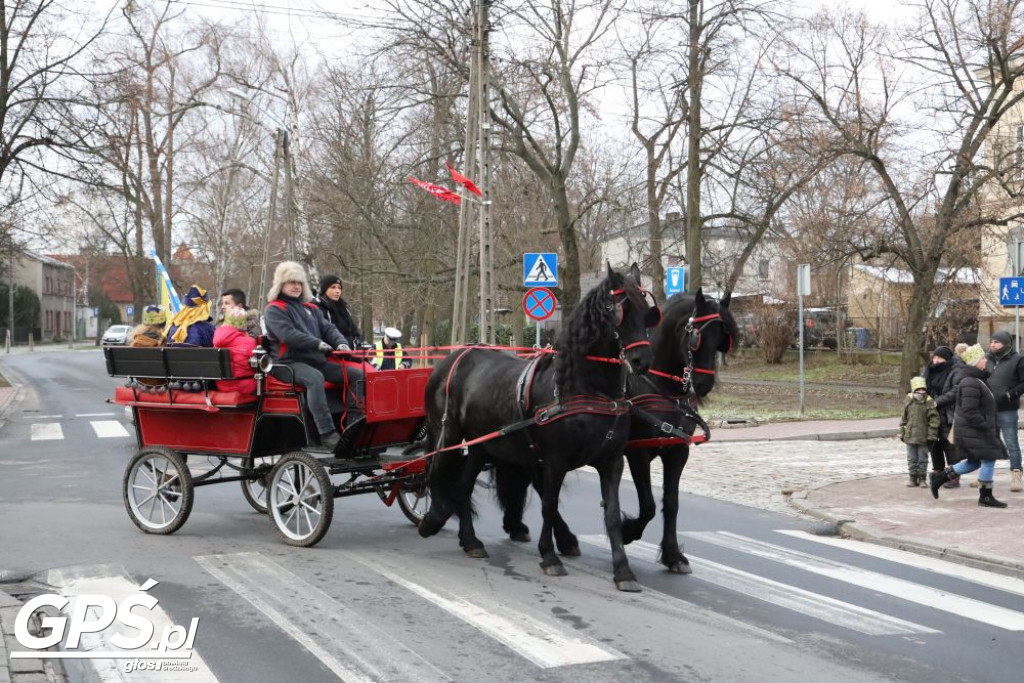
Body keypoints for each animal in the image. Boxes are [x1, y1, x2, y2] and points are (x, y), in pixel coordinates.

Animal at [419, 264, 659, 589]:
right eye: (617, 310)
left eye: (647, 312)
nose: (642, 360)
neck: (585, 388)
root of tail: (454, 357)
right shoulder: (555, 461)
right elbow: (549, 504)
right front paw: (549, 556)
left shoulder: (611, 461)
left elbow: (610, 514)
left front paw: (623, 570)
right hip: (449, 434)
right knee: (439, 472)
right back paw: (434, 520)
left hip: (482, 445)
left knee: (464, 486)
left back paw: (470, 541)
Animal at [614, 288, 737, 573]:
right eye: (695, 338)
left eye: (722, 339)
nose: (703, 384)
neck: (662, 389)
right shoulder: (638, 453)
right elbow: (648, 505)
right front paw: (627, 531)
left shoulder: (678, 452)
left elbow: (671, 503)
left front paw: (672, 555)